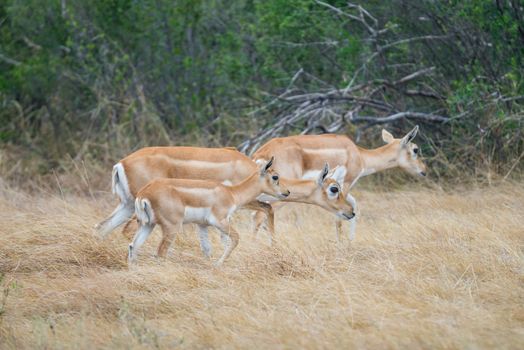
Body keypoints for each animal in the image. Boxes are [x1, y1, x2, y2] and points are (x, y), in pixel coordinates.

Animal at [128, 157, 288, 264]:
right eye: (275, 177)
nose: (287, 192)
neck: (231, 193)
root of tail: (145, 193)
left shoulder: (203, 225)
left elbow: (207, 248)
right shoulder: (220, 221)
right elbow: (235, 238)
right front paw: (218, 264)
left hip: (147, 225)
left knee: (133, 246)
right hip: (171, 227)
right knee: (160, 253)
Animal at [252, 125, 428, 241]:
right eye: (415, 149)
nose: (424, 170)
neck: (360, 155)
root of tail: (261, 153)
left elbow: (354, 206)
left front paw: (351, 241)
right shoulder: (346, 183)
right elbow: (340, 216)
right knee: (259, 216)